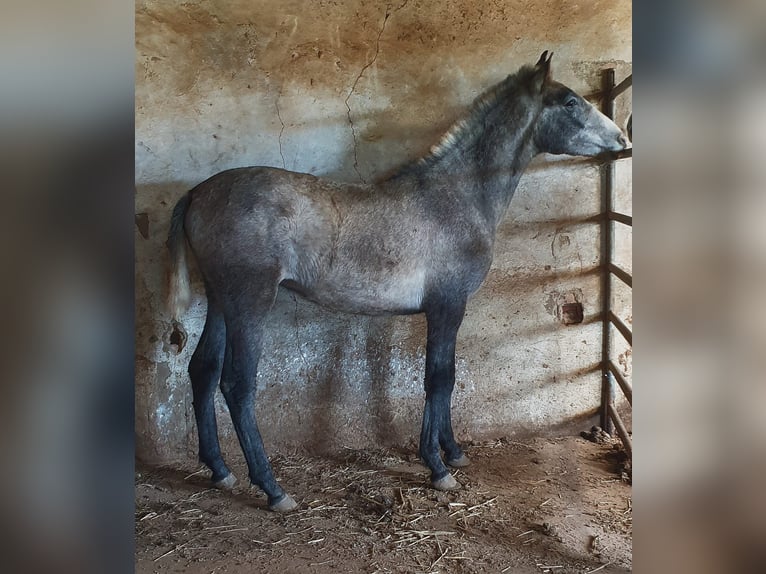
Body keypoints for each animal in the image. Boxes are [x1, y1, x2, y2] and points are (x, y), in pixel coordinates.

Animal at [165, 53, 628, 512]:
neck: (455, 198)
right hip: (250, 301)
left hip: (221, 300)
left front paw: (453, 453)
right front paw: (437, 467)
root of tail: (199, 192)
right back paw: (272, 488)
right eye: (569, 102)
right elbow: (439, 377)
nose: (621, 138)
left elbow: (444, 378)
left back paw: (220, 470)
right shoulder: (447, 305)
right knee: (237, 384)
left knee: (203, 370)